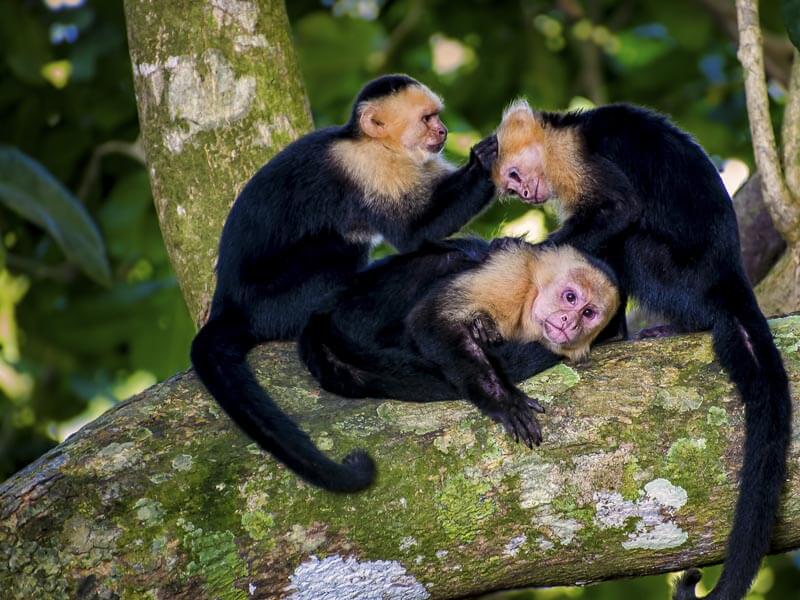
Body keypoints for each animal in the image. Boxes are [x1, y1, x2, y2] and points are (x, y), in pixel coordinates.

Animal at [190, 75, 496, 492]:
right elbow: (415, 232)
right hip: (277, 302)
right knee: (338, 251)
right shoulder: (369, 168)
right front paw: (488, 160)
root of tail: (227, 306)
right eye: (426, 118)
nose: (443, 131)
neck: (373, 144)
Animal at [300, 239, 620, 450]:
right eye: (570, 297)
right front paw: (502, 399)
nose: (569, 321)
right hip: (361, 311)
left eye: (588, 313)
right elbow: (430, 319)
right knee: (446, 261)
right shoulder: (513, 273)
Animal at [494, 99, 792, 600]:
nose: (524, 195)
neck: (561, 134)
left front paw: (517, 249)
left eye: (514, 175)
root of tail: (730, 278)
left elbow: (619, 209)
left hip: (679, 278)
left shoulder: (574, 157)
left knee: (629, 245)